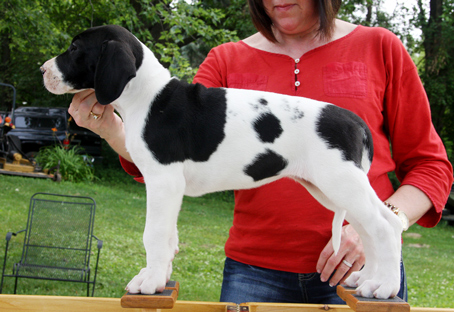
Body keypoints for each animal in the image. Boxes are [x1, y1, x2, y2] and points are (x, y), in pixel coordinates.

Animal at [40, 25, 402, 298]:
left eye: (74, 48)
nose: (42, 70)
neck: (146, 96)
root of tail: (355, 122)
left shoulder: (163, 181)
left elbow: (153, 234)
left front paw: (150, 282)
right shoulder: (168, 188)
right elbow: (168, 237)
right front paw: (159, 276)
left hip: (340, 183)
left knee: (382, 228)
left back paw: (383, 287)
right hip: (333, 188)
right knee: (381, 225)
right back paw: (366, 279)